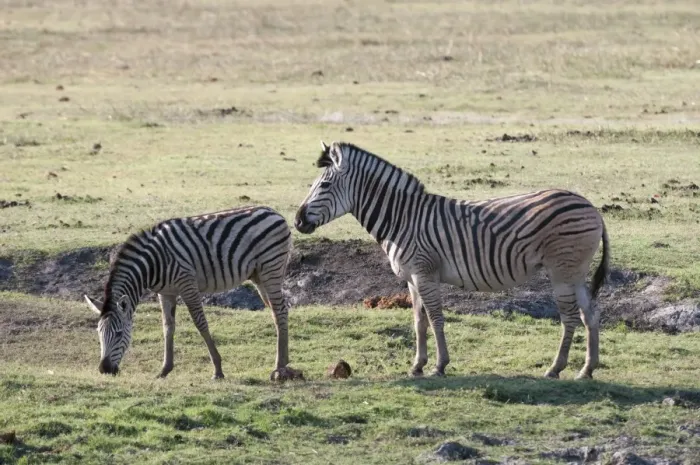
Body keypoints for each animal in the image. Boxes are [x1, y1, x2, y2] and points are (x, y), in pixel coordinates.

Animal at [83, 205, 301, 381]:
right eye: (99, 333)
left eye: (119, 333)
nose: (104, 370)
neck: (152, 263)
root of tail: (274, 212)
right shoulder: (166, 292)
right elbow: (168, 327)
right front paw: (164, 370)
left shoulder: (187, 284)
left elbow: (200, 323)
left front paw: (218, 370)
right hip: (259, 276)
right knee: (277, 312)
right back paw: (283, 364)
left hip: (271, 269)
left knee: (280, 310)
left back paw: (279, 367)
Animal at [295, 141, 610, 380]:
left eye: (324, 185)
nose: (297, 221)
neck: (402, 219)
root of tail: (591, 206)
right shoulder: (412, 279)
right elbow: (418, 321)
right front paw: (417, 365)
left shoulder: (425, 273)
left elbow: (436, 318)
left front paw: (439, 366)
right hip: (576, 272)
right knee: (590, 315)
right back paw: (586, 370)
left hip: (561, 271)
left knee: (569, 318)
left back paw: (555, 369)